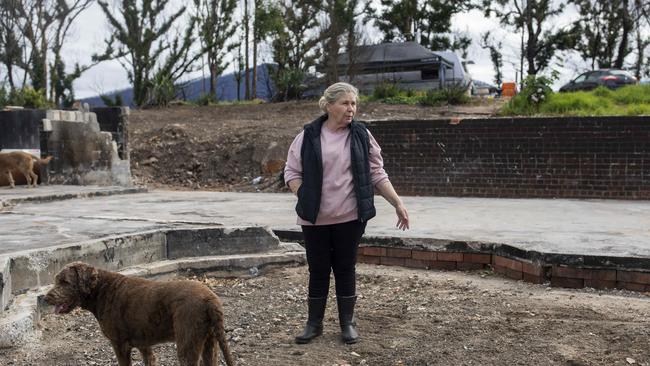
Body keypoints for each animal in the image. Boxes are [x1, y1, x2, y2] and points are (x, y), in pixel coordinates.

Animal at [44, 262, 235, 364]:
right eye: (56, 280)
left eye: (65, 282)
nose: (46, 298)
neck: (101, 290)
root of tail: (211, 300)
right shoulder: (144, 344)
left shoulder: (119, 344)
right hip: (210, 341)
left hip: (188, 342)